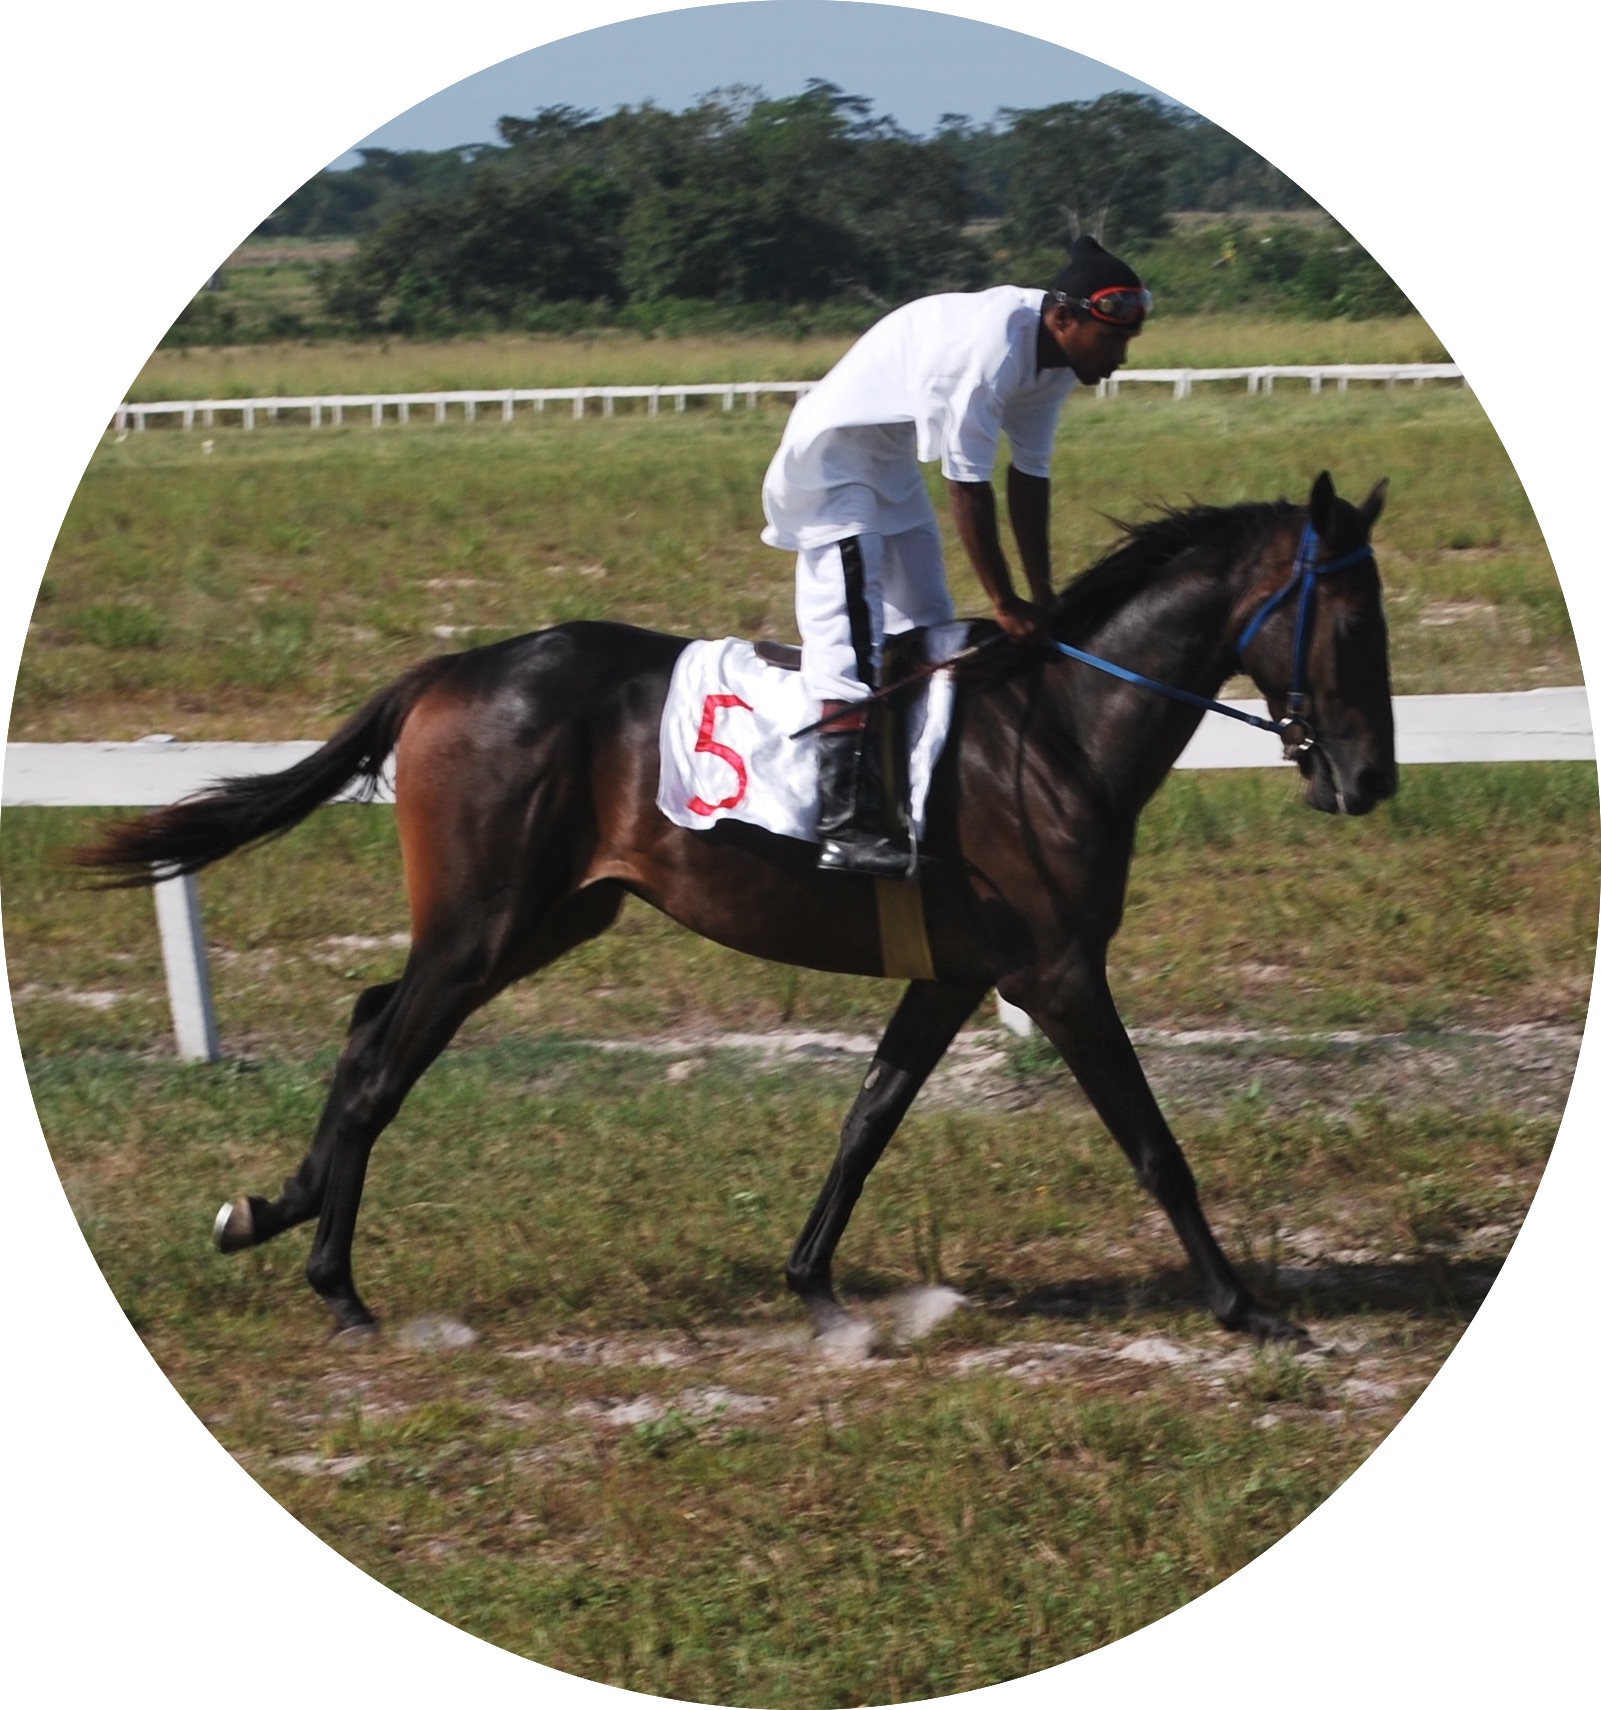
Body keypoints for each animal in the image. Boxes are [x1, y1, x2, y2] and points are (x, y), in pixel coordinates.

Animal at [76, 471, 1395, 1345]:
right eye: (1350, 621)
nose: (1369, 778)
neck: (1055, 727)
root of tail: (448, 669)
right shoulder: (1057, 973)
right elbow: (1153, 1143)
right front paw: (1244, 1306)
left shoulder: (954, 972)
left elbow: (867, 1120)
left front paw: (816, 1285)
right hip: (484, 922)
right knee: (377, 1066)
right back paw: (335, 1282)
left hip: (546, 918)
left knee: (365, 1023)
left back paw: (283, 1219)